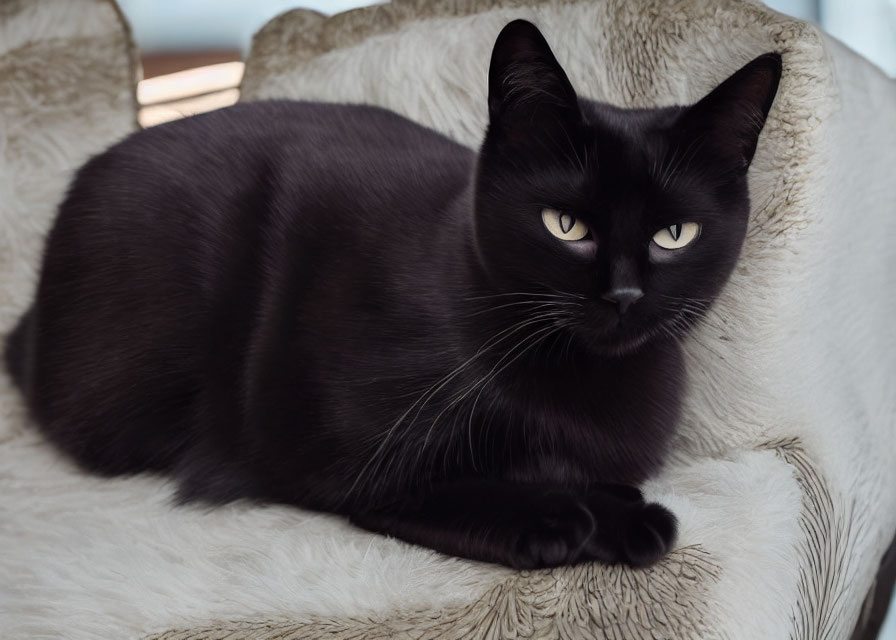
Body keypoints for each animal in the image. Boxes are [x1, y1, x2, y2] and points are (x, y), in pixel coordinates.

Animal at [3, 21, 780, 568]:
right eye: (566, 226)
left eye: (673, 234)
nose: (622, 294)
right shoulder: (343, 456)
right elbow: (431, 487)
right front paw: (559, 514)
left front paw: (620, 511)